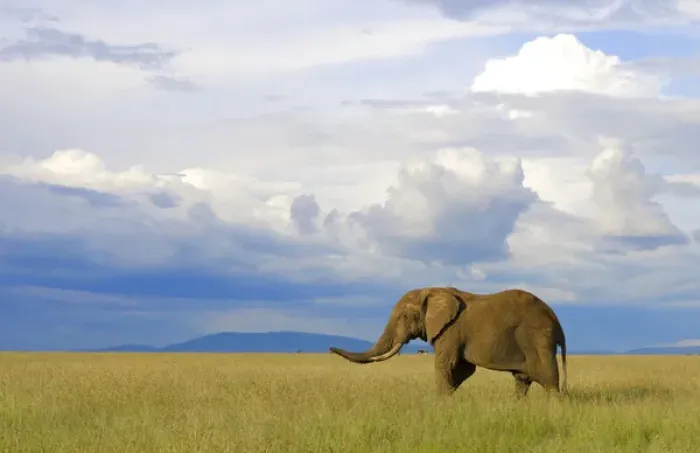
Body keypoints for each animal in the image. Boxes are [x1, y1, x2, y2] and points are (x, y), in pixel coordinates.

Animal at [329, 286, 568, 398]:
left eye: (404, 317)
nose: (330, 348)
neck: (432, 290)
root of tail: (557, 322)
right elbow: (463, 369)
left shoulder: (451, 331)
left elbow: (446, 365)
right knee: (522, 380)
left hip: (538, 338)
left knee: (549, 381)